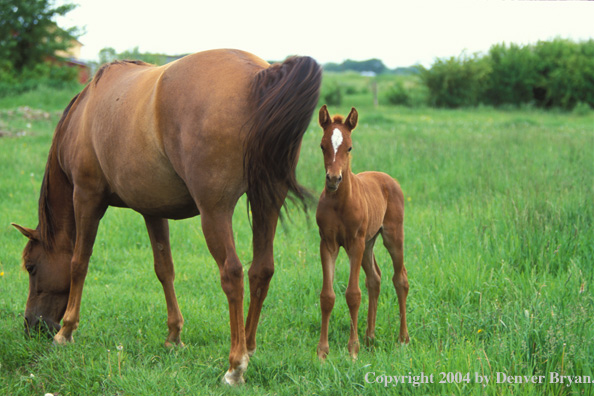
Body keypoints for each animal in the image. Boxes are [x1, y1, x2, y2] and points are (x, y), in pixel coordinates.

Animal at [11, 48, 322, 384]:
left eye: (31, 266)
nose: (32, 326)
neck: (83, 115)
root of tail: (259, 75)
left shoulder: (86, 197)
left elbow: (78, 263)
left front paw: (66, 332)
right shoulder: (153, 209)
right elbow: (164, 269)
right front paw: (174, 336)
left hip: (215, 212)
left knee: (233, 274)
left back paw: (235, 364)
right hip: (267, 200)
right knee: (261, 270)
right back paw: (249, 347)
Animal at [314, 104, 408, 358]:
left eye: (349, 147)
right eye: (323, 145)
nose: (333, 179)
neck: (339, 202)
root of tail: (388, 178)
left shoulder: (354, 243)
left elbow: (353, 294)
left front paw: (352, 350)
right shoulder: (328, 243)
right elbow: (327, 296)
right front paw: (322, 352)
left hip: (392, 237)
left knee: (400, 279)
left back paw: (402, 338)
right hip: (368, 243)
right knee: (375, 279)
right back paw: (369, 337)